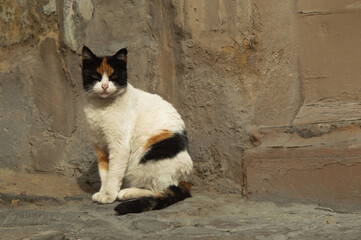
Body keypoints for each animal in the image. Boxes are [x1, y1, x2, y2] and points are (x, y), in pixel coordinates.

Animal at [80, 46, 193, 215]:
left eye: (113, 76)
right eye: (96, 76)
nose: (105, 86)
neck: (101, 107)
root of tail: (185, 179)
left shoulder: (119, 145)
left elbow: (114, 173)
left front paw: (109, 194)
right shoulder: (100, 145)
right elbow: (104, 172)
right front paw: (102, 192)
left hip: (152, 155)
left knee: (157, 188)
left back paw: (126, 193)